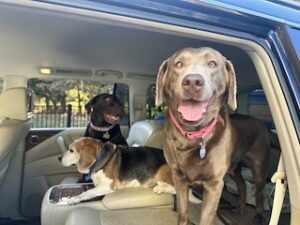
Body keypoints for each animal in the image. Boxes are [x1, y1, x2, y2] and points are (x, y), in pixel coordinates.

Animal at [156, 47, 274, 225]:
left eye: (212, 63)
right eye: (178, 64)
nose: (192, 81)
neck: (192, 134)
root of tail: (260, 122)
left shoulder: (214, 184)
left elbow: (206, 218)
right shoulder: (179, 178)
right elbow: (182, 213)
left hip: (259, 166)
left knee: (259, 192)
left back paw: (259, 215)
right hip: (234, 168)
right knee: (242, 185)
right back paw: (240, 208)